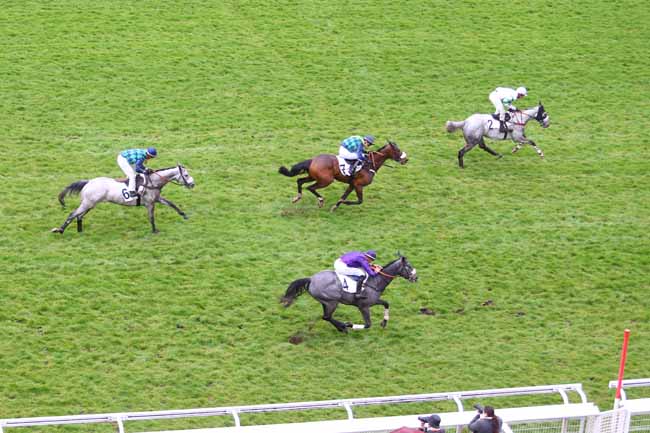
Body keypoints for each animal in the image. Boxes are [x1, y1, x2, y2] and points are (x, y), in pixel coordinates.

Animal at [51, 164, 195, 234]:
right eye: (186, 175)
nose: (192, 184)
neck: (152, 182)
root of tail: (88, 182)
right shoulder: (149, 203)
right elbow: (151, 217)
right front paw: (155, 231)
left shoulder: (157, 199)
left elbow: (172, 204)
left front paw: (184, 215)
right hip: (88, 203)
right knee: (73, 214)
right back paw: (60, 230)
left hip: (90, 204)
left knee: (79, 216)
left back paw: (80, 231)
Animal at [278, 141, 408, 212]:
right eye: (397, 150)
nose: (405, 159)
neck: (370, 163)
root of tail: (313, 160)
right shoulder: (358, 185)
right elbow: (359, 201)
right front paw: (343, 203)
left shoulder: (352, 184)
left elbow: (344, 196)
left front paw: (335, 207)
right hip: (326, 180)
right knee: (310, 187)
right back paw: (320, 201)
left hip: (313, 176)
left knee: (300, 181)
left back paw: (297, 197)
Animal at [280, 254, 418, 333]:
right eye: (409, 266)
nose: (416, 278)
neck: (376, 281)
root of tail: (311, 279)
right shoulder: (364, 306)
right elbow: (368, 324)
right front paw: (350, 324)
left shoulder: (373, 301)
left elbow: (386, 303)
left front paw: (384, 322)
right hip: (332, 302)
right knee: (326, 317)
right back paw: (343, 326)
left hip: (326, 302)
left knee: (326, 317)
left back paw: (341, 327)